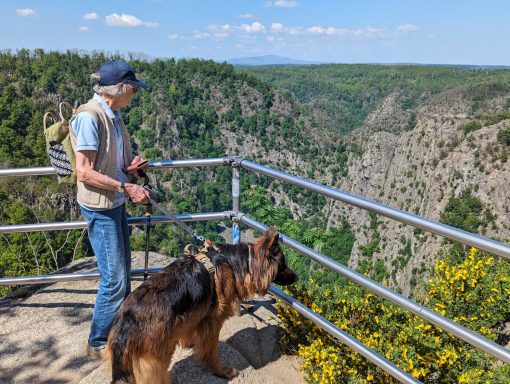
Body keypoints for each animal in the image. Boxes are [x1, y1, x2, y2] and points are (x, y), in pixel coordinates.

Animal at [108, 228, 298, 384]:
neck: (238, 263)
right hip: (156, 359)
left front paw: (190, 342)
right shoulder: (214, 320)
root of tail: (127, 319)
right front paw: (221, 371)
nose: (296, 278)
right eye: (283, 265)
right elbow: (211, 350)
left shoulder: (197, 315)